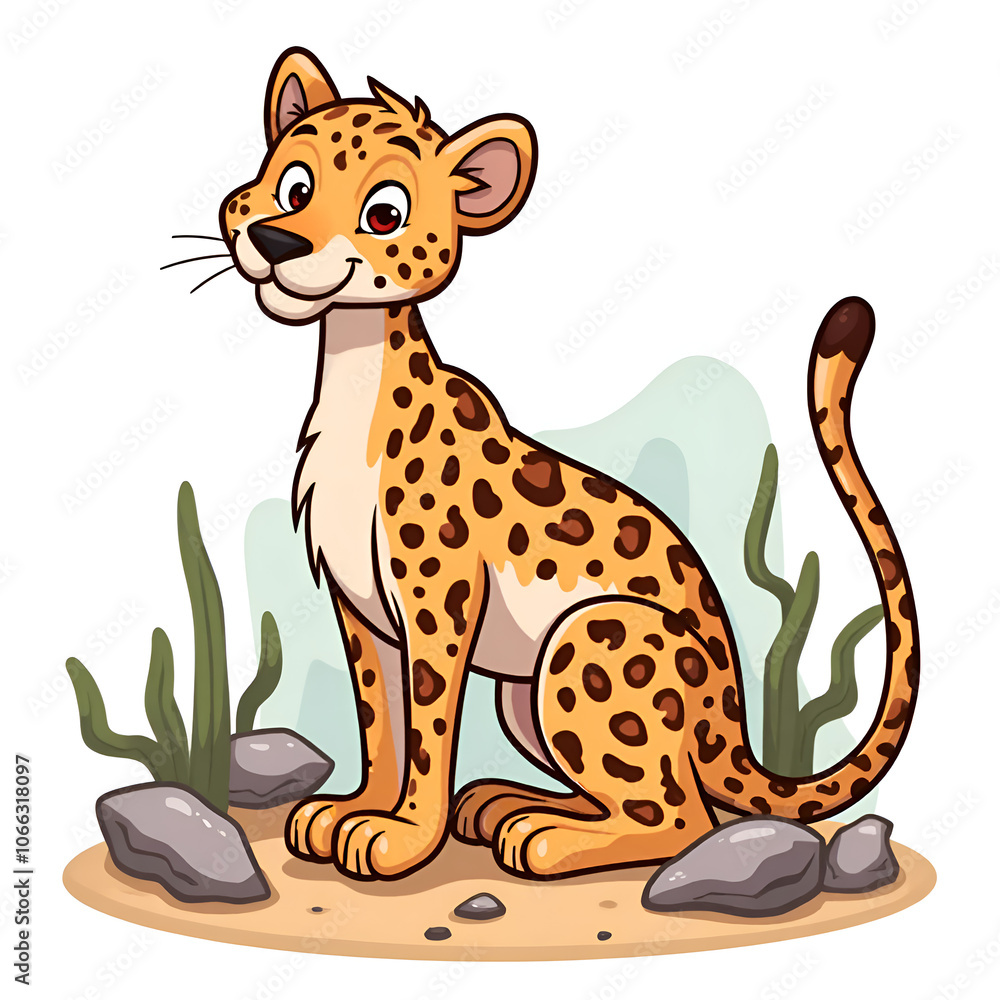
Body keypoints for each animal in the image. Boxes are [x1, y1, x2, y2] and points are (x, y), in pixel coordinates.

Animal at [215, 47, 918, 881]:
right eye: (294, 184)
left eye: (384, 212)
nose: (278, 242)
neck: (355, 372)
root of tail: (730, 718)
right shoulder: (360, 609)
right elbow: (380, 721)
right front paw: (352, 813)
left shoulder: (437, 604)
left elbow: (426, 726)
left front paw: (402, 836)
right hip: (525, 696)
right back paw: (507, 805)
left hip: (588, 638)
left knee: (680, 816)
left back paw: (542, 837)